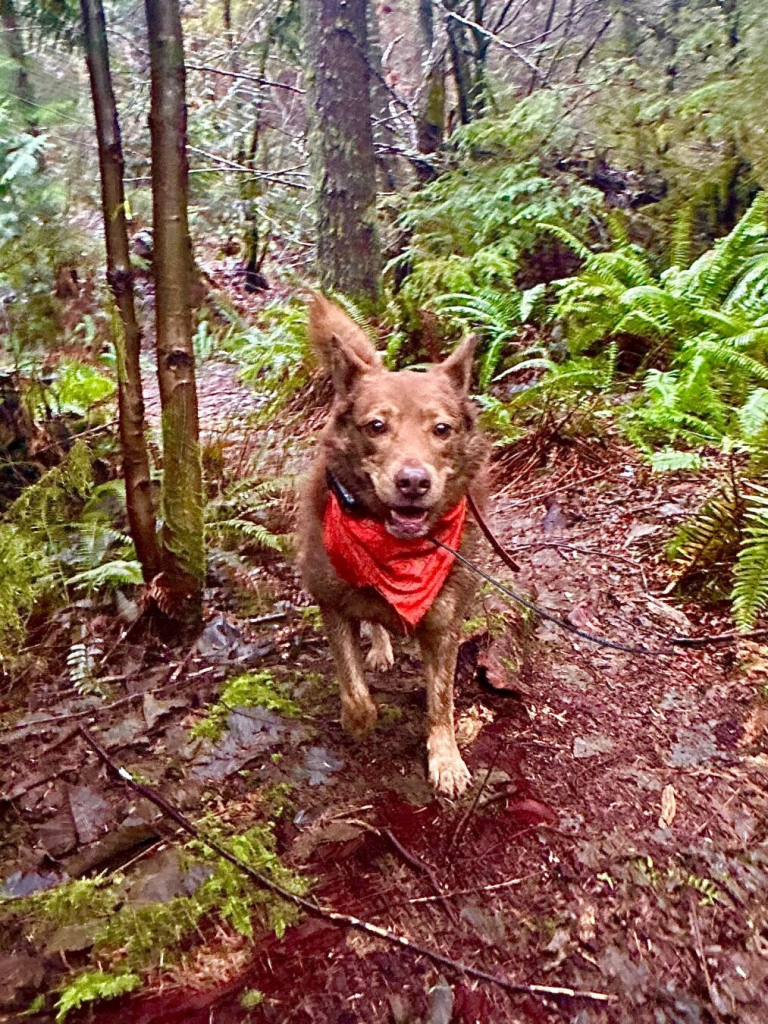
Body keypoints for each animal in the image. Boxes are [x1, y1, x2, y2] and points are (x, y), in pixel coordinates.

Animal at [296, 296, 489, 798]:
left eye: (441, 429)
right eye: (376, 426)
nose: (413, 482)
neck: (398, 555)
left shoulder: (444, 625)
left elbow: (440, 701)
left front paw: (446, 759)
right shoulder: (331, 603)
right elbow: (355, 692)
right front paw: (358, 722)